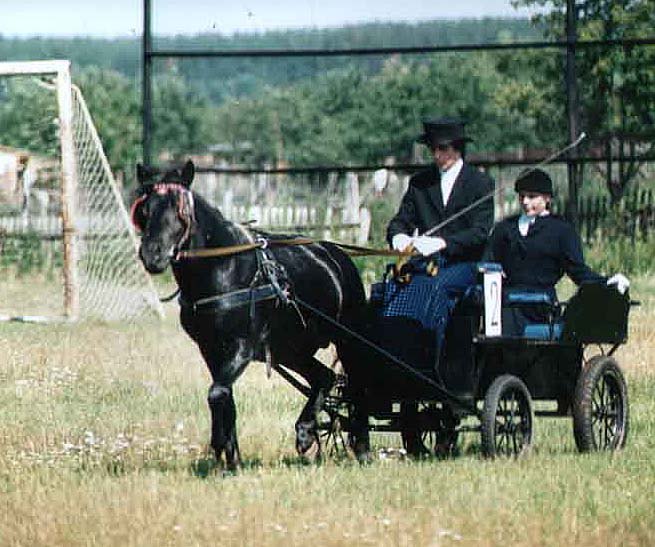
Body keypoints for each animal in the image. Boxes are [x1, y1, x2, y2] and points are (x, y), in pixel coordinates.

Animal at [131, 161, 372, 468]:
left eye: (179, 209)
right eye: (145, 210)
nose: (153, 255)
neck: (224, 267)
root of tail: (335, 254)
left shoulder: (241, 347)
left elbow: (216, 393)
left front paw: (219, 445)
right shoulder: (211, 349)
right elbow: (225, 396)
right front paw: (230, 459)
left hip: (348, 339)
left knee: (358, 386)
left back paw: (359, 447)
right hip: (288, 349)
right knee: (324, 377)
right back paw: (307, 431)